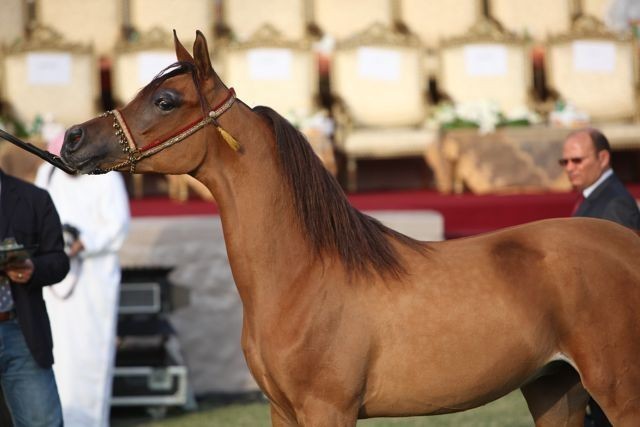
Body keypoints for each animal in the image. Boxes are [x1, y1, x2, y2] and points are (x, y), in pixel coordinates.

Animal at [59, 31, 640, 426]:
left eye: (164, 101)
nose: (72, 138)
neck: (304, 276)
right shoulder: (283, 412)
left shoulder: (327, 410)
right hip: (554, 389)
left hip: (618, 391)